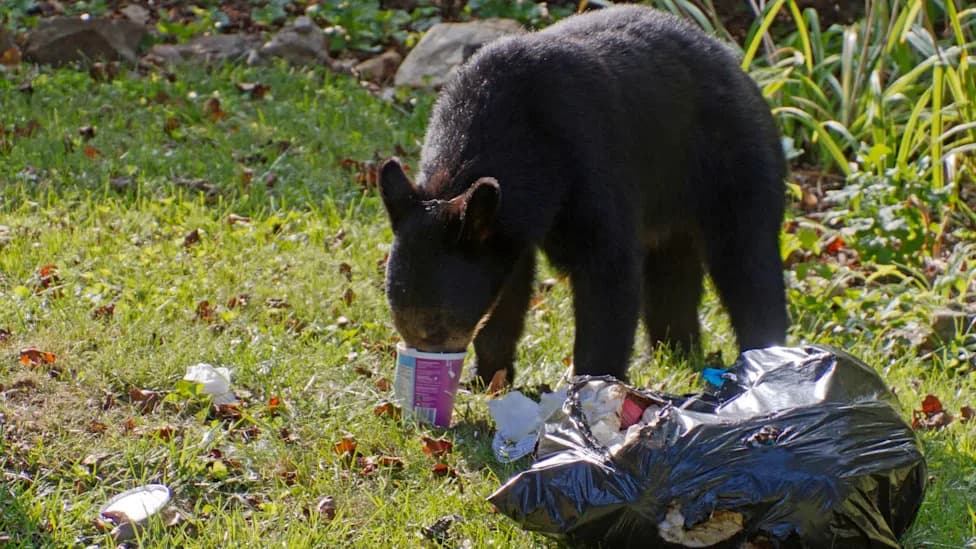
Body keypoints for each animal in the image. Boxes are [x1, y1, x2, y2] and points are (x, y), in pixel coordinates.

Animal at [379, 5, 788, 386]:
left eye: (436, 325)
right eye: (401, 322)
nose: (428, 367)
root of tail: (738, 66)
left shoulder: (588, 160)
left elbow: (608, 270)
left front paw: (593, 384)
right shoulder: (506, 224)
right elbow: (509, 290)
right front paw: (487, 378)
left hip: (732, 159)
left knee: (748, 259)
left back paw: (764, 358)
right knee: (672, 275)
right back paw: (672, 353)